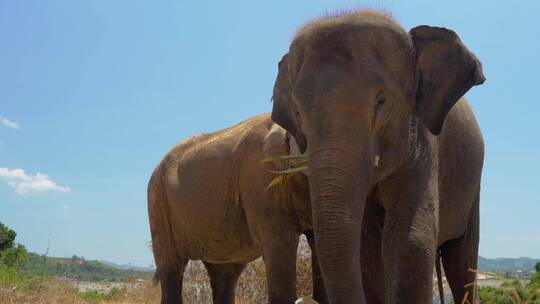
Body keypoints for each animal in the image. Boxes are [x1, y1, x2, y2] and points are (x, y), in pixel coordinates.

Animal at [270, 9, 486, 304]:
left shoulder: (422, 146)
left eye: (381, 102)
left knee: (462, 262)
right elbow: (368, 255)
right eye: (298, 112)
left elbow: (409, 242)